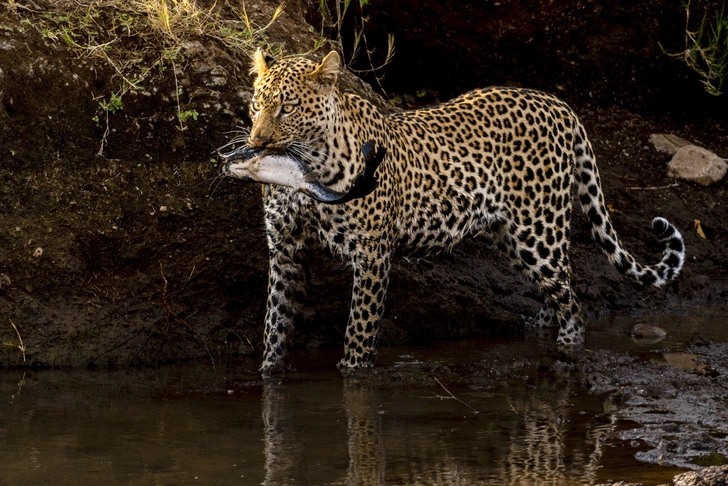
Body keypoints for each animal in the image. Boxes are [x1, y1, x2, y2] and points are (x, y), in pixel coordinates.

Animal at [237, 50, 684, 376]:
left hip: (539, 232)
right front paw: (267, 374)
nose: (258, 143)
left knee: (574, 305)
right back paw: (540, 326)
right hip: (513, 238)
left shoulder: (371, 254)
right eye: (257, 105)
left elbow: (359, 330)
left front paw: (351, 372)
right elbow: (275, 322)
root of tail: (559, 104)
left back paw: (565, 349)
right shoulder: (285, 249)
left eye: (287, 108)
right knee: (559, 291)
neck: (306, 170)